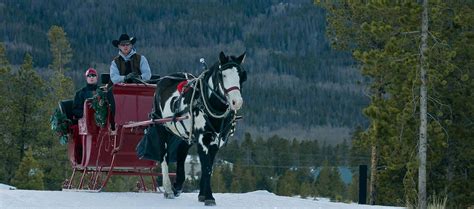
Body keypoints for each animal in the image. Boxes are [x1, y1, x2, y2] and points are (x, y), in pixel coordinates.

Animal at [153, 51, 248, 206]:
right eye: (223, 75)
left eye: (242, 75)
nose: (237, 102)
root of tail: (163, 80)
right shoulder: (203, 138)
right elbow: (206, 166)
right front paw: (209, 197)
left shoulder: (216, 140)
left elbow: (208, 167)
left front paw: (203, 195)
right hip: (161, 127)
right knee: (163, 156)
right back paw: (168, 189)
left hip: (186, 133)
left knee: (181, 154)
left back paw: (178, 186)